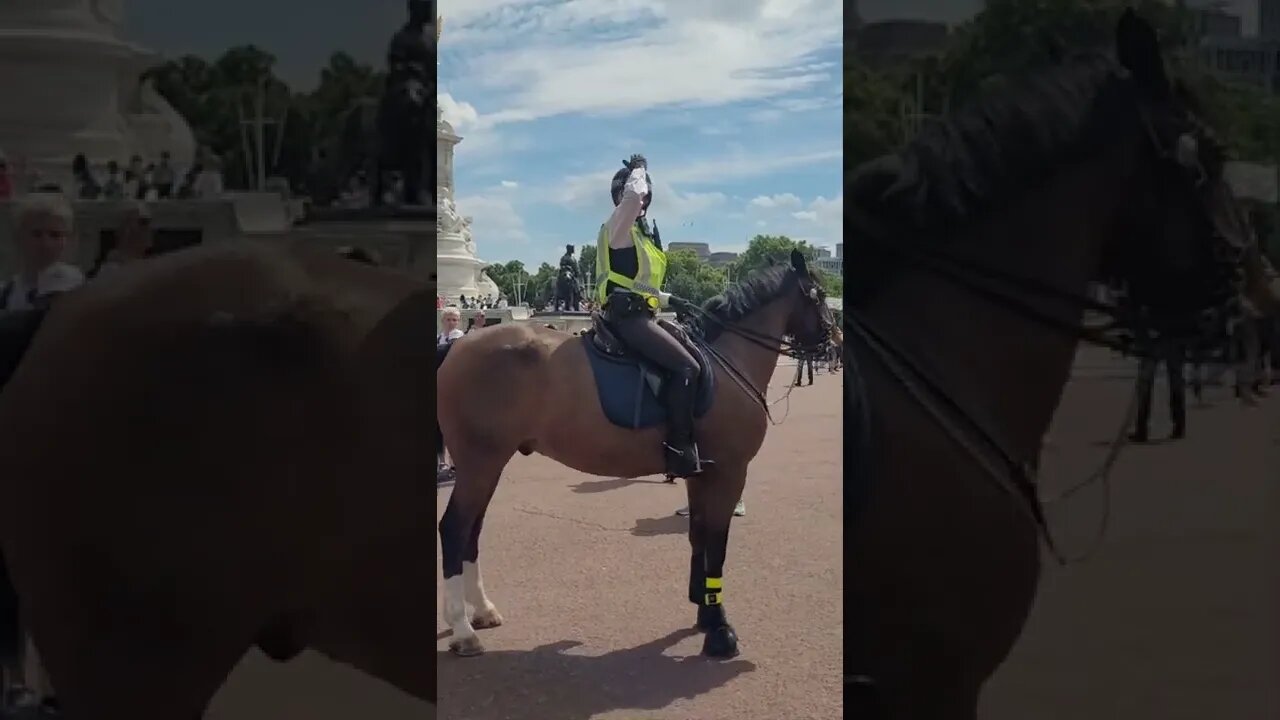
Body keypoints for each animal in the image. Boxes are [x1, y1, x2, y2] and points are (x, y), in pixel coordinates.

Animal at [437, 249, 829, 661]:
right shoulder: (729, 472)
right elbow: (717, 545)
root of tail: (458, 345)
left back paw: (481, 611)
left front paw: (704, 611)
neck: (725, 360)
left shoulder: (702, 473)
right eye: (819, 295)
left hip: (489, 464)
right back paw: (462, 629)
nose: (832, 341)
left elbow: (699, 536)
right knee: (454, 529)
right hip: (479, 462)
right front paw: (720, 629)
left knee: (472, 530)